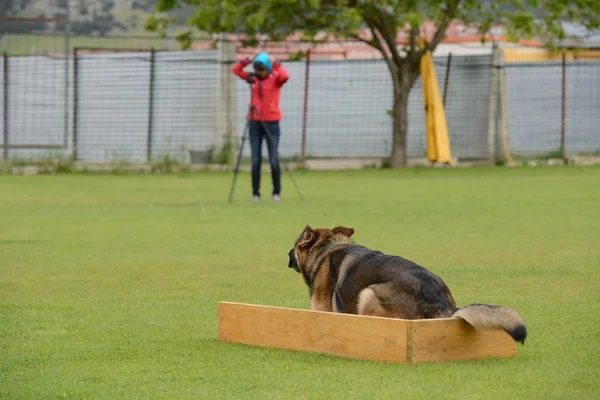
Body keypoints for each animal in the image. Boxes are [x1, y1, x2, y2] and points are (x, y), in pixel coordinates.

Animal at [288, 225, 528, 344]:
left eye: (294, 246)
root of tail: (437, 301)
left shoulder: (320, 305)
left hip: (368, 293)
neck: (327, 248)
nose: (288, 255)